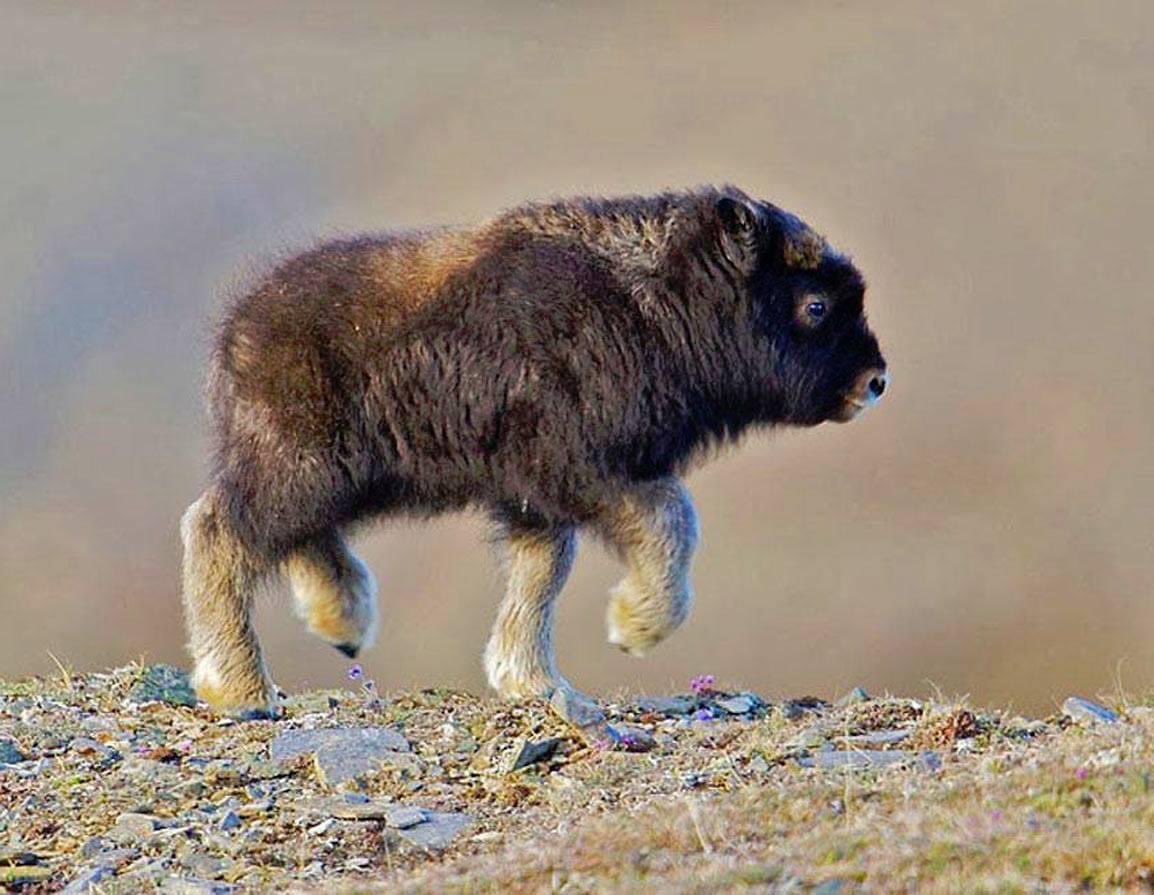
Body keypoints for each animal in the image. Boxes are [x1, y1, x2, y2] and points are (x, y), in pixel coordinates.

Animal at [180, 185, 886, 715]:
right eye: (815, 304)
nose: (875, 381)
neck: (653, 304)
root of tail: (237, 330)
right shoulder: (581, 469)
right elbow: (671, 519)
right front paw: (636, 628)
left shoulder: (537, 496)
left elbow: (541, 573)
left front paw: (531, 680)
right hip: (303, 467)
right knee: (218, 529)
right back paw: (240, 688)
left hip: (331, 478)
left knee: (298, 537)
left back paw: (343, 623)